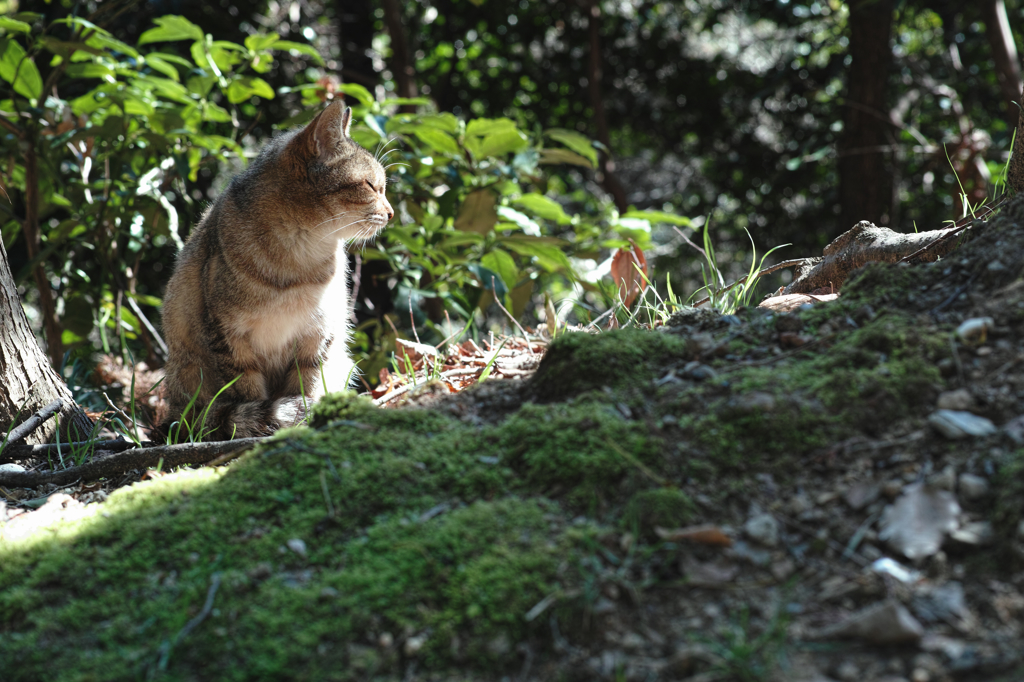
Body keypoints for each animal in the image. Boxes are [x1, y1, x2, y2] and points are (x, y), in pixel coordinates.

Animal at [158, 102, 391, 438]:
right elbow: (249, 392)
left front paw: (305, 414)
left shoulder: (319, 333)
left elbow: (307, 383)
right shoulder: (228, 338)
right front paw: (269, 422)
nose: (392, 213)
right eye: (371, 186)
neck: (299, 256)